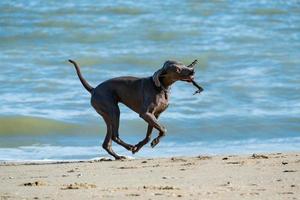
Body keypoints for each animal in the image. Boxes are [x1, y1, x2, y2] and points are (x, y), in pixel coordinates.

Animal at [69, 59, 202, 159]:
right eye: (177, 69)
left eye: (183, 64)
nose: (192, 70)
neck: (161, 87)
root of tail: (93, 89)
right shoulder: (145, 114)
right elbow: (163, 129)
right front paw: (151, 143)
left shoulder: (155, 115)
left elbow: (149, 135)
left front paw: (141, 145)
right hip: (113, 111)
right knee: (114, 136)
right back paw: (129, 147)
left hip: (107, 115)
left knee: (107, 143)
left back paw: (119, 156)